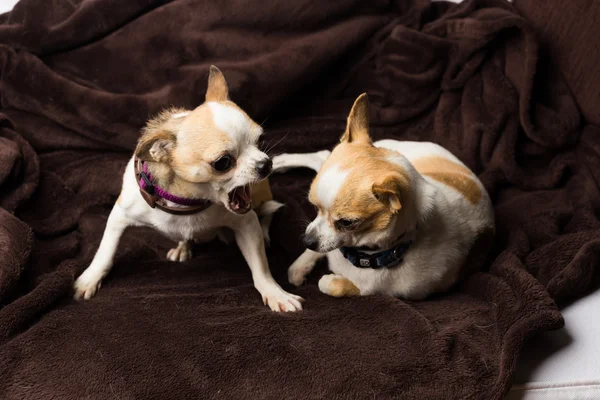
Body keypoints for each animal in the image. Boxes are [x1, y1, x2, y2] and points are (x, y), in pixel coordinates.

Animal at [73, 65, 302, 310]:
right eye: (223, 163)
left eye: (260, 140)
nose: (265, 164)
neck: (188, 200)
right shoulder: (120, 216)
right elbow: (105, 252)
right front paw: (89, 279)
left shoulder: (247, 224)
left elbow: (261, 266)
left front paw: (275, 293)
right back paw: (183, 246)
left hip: (261, 196)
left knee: (268, 212)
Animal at [274, 94, 494, 300]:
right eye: (314, 207)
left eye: (347, 222)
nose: (307, 240)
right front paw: (300, 266)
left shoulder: (388, 291)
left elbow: (337, 285)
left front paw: (322, 277)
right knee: (320, 155)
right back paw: (279, 162)